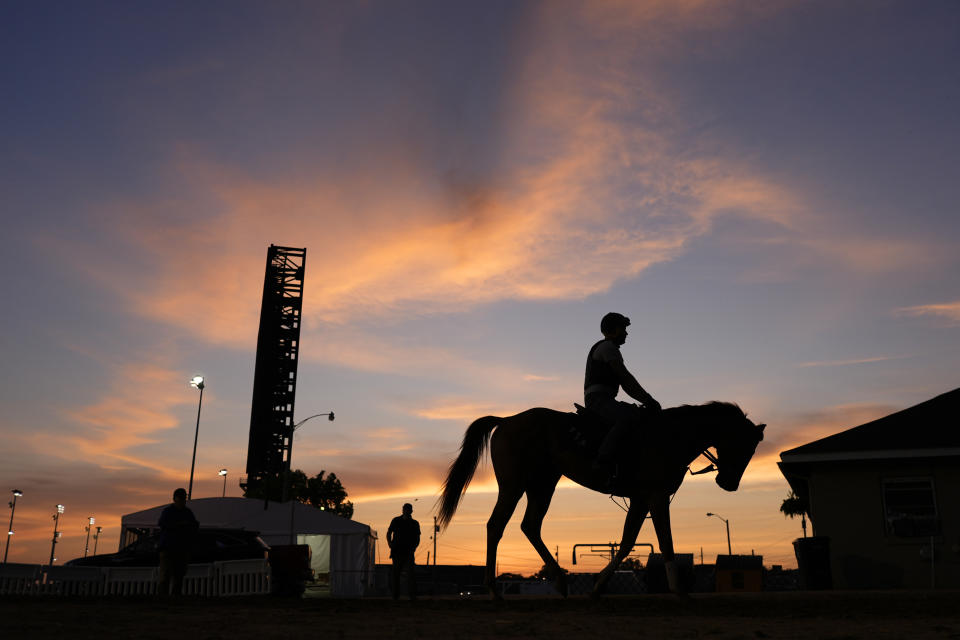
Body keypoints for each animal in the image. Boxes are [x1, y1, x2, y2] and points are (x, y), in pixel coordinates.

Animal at [436, 402, 764, 596]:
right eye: (743, 445)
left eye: (752, 450)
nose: (729, 483)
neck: (670, 436)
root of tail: (506, 421)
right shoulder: (656, 497)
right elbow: (666, 542)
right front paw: (677, 590)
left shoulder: (640, 500)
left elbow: (628, 542)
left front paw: (598, 585)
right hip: (514, 485)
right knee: (496, 525)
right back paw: (492, 588)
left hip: (542, 484)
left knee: (529, 526)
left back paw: (561, 581)